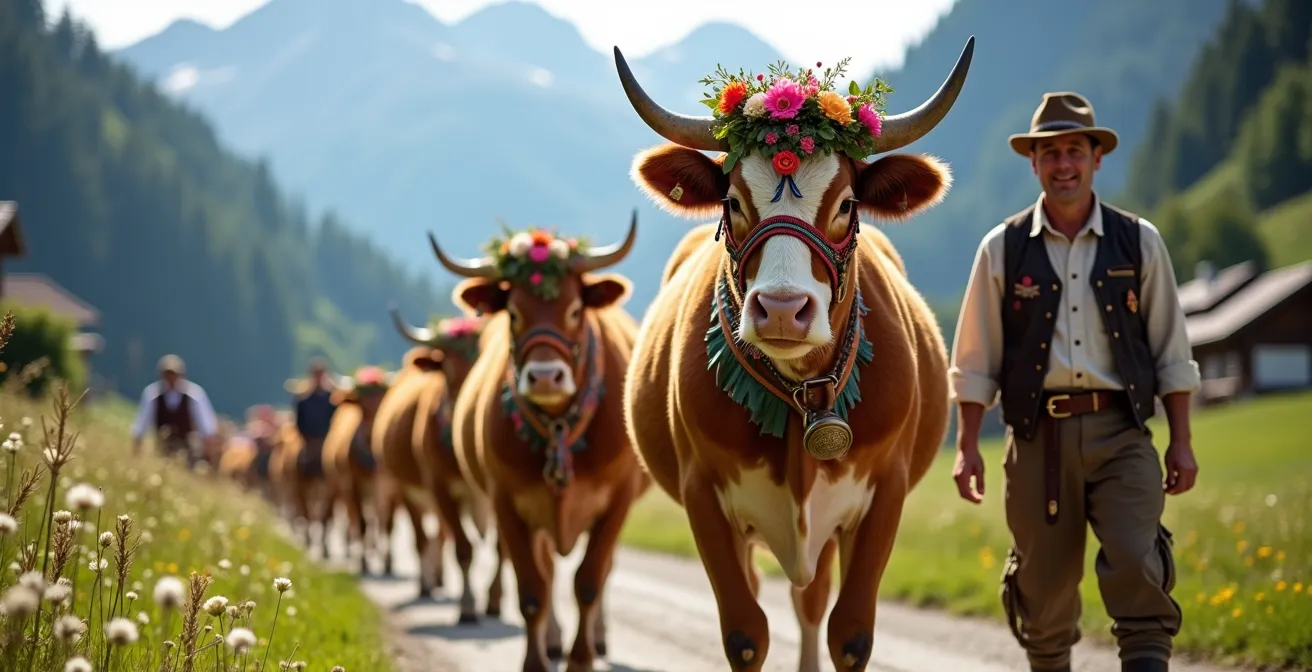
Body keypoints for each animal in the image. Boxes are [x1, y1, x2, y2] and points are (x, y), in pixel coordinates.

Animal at [321, 366, 394, 575]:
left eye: (384, 399)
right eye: (362, 404)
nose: (376, 429)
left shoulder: (391, 487)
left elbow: (387, 524)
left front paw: (388, 561)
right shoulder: (352, 484)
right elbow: (361, 523)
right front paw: (363, 562)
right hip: (334, 482)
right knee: (331, 512)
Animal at [388, 309, 505, 624]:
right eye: (447, 370)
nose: (467, 415)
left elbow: (501, 548)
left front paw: (494, 600)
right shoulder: (440, 487)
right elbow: (464, 549)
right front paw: (467, 607)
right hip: (407, 491)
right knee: (421, 539)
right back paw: (426, 584)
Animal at [439, 216, 649, 672]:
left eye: (574, 310)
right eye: (514, 313)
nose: (546, 377)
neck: (558, 429)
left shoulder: (617, 501)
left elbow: (589, 581)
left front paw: (582, 658)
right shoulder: (508, 502)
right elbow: (533, 589)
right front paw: (536, 661)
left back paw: (598, 638)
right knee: (549, 571)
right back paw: (553, 641)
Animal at [612, 37, 974, 672]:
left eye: (848, 204)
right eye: (732, 201)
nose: (782, 308)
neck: (803, 393)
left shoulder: (886, 491)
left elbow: (849, 633)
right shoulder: (702, 494)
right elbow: (745, 632)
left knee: (811, 600)